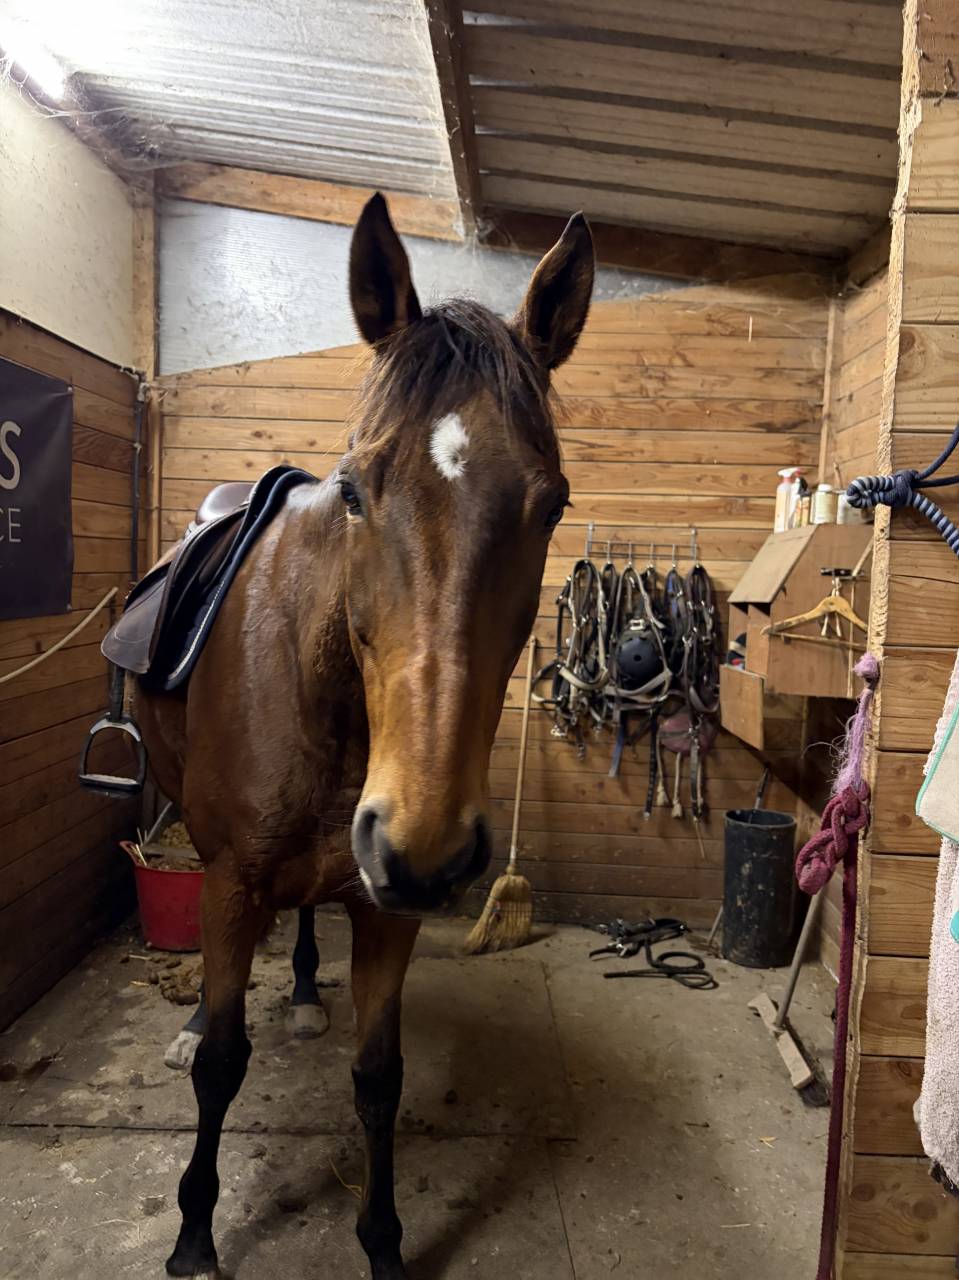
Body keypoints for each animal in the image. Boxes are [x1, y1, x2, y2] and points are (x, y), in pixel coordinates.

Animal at [137, 192, 594, 1279]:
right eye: (352, 490)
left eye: (550, 502)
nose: (423, 841)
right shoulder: (231, 883)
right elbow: (221, 1061)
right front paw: (194, 1230)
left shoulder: (389, 909)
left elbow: (379, 1075)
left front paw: (382, 1238)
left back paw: (307, 988)